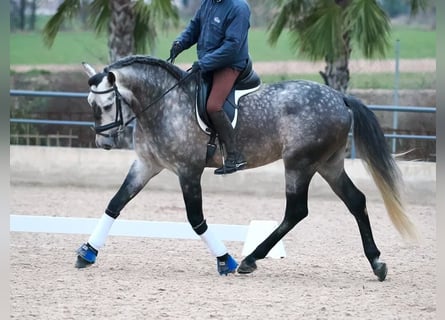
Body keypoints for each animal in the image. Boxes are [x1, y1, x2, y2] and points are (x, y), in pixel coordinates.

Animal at [74, 54, 414, 280]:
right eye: (91, 105)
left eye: (107, 105)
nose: (103, 143)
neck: (163, 105)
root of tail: (340, 97)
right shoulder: (145, 165)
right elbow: (115, 204)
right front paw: (87, 253)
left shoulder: (188, 171)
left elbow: (196, 219)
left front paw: (226, 261)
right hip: (328, 164)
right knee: (356, 201)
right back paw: (377, 263)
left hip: (299, 163)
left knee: (296, 211)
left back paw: (250, 259)